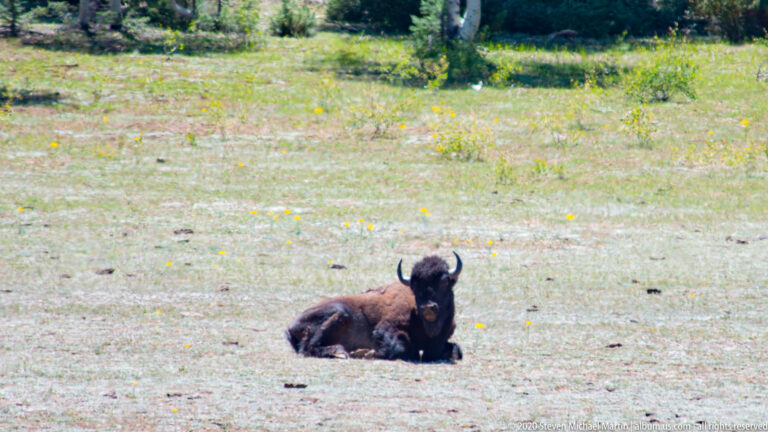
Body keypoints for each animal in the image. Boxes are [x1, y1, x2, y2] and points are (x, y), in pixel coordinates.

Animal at [286, 252, 463, 362]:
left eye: (444, 281)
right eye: (414, 286)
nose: (428, 307)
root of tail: (292, 326)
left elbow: (456, 351)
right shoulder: (386, 328)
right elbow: (402, 347)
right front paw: (369, 352)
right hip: (339, 314)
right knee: (308, 347)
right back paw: (343, 353)